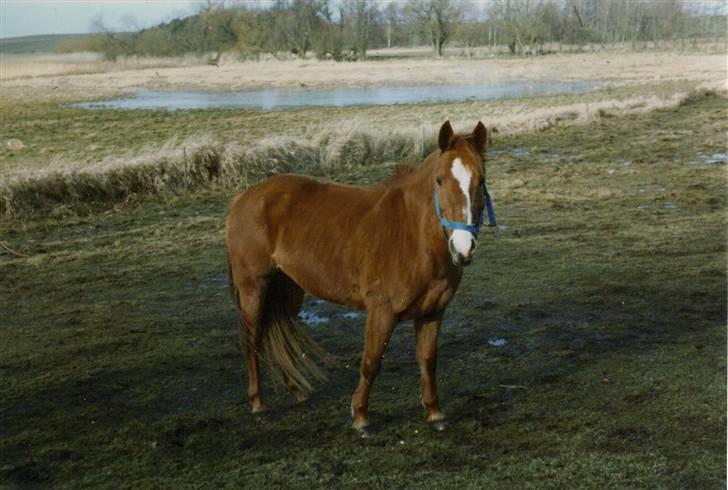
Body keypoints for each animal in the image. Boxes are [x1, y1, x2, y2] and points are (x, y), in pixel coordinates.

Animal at [225, 120, 494, 430]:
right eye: (439, 180)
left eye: (481, 180)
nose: (463, 247)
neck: (413, 234)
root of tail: (243, 198)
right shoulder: (381, 311)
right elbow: (371, 361)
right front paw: (361, 416)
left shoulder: (433, 312)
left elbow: (428, 359)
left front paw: (434, 411)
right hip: (253, 287)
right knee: (251, 340)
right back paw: (258, 403)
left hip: (288, 289)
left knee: (276, 333)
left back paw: (297, 392)